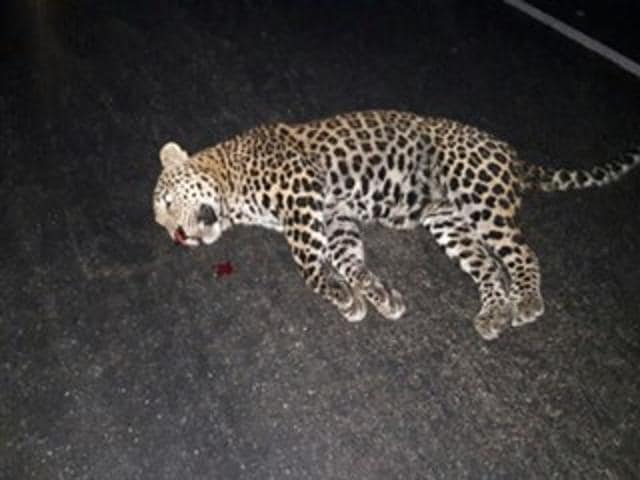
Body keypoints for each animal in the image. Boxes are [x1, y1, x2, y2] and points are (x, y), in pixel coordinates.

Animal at [153, 110, 639, 340]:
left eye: (168, 203)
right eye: (162, 224)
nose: (178, 237)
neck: (232, 183)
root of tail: (511, 153)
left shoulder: (303, 195)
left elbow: (309, 266)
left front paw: (345, 299)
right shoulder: (336, 216)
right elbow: (350, 262)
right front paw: (379, 296)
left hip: (479, 194)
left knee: (522, 252)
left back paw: (527, 303)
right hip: (450, 222)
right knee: (489, 267)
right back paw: (493, 314)